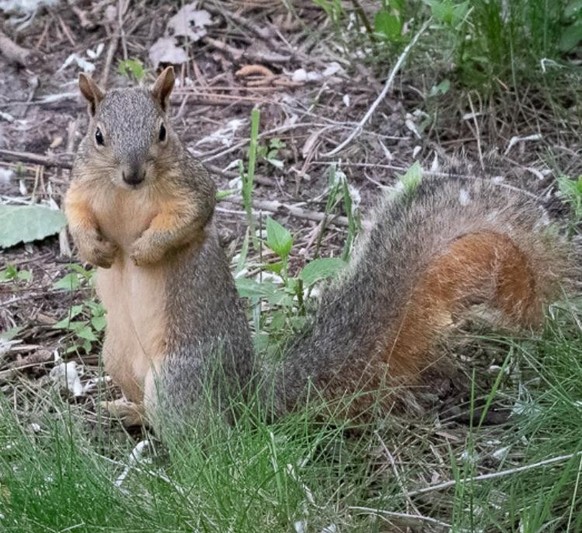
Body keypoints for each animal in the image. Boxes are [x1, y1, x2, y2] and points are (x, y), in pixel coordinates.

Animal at [65, 66, 572, 432]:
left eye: (163, 132)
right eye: (97, 135)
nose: (133, 173)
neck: (127, 195)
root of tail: (247, 397)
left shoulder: (192, 190)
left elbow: (188, 219)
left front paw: (145, 252)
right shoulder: (80, 187)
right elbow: (74, 213)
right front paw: (96, 250)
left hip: (178, 378)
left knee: (205, 439)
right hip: (116, 360)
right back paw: (126, 412)